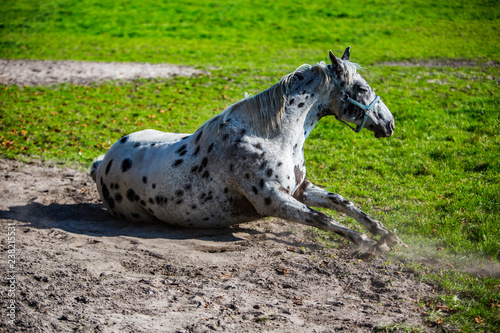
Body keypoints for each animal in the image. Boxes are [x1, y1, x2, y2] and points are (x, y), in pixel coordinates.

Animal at [90, 47, 402, 252]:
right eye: (360, 88)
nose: (389, 123)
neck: (271, 136)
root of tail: (101, 163)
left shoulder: (300, 189)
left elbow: (342, 203)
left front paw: (386, 234)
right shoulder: (274, 200)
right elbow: (322, 218)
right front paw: (367, 243)